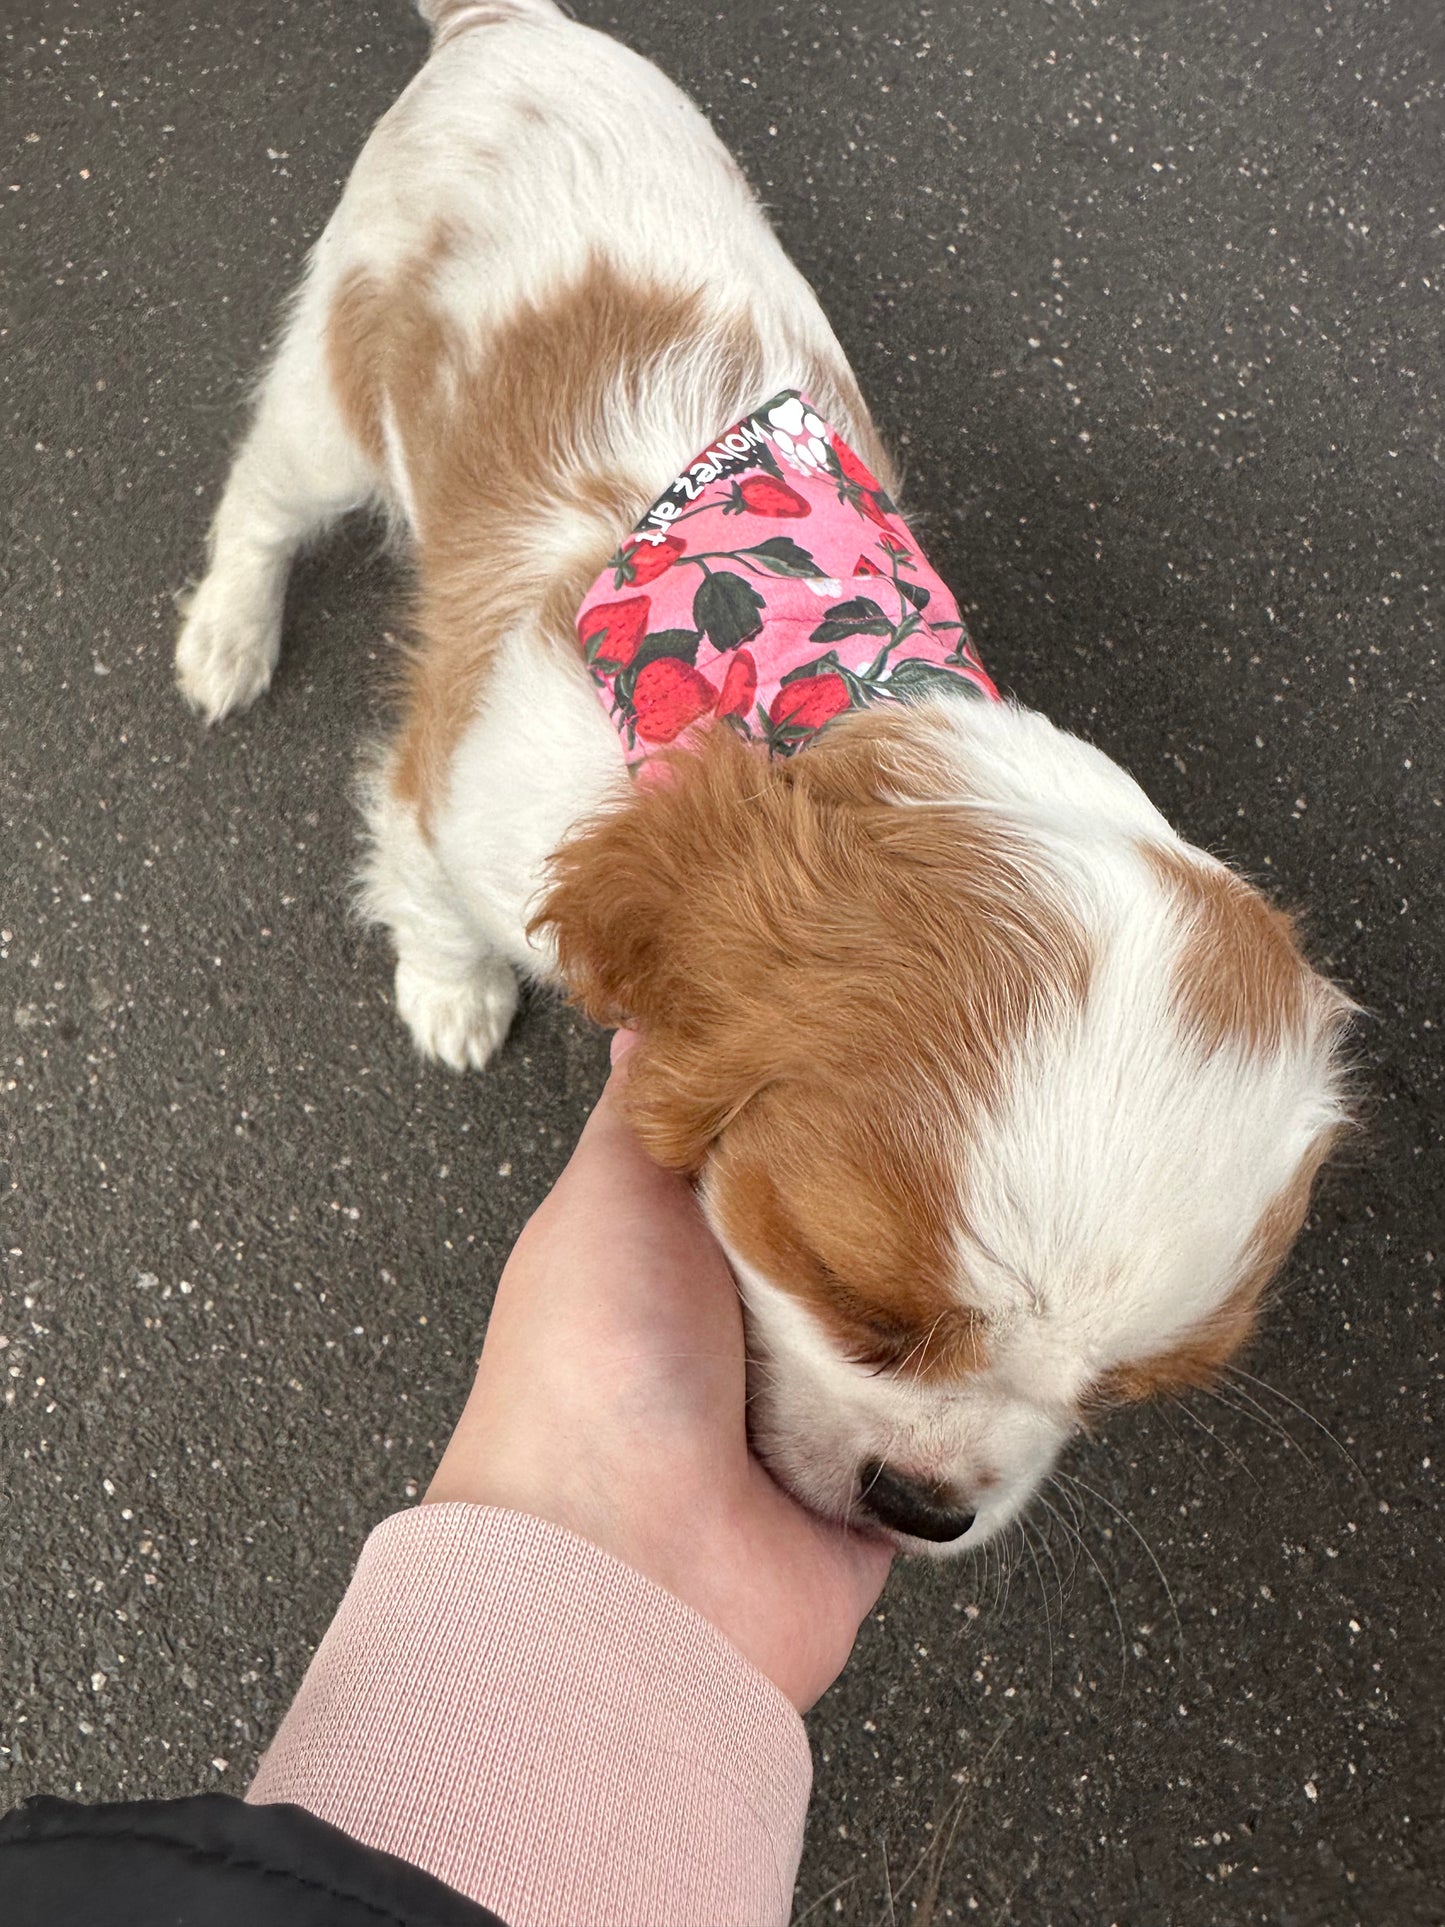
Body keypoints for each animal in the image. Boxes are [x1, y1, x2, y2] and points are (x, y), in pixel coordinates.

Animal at [175, 0, 1356, 1557]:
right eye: (855, 1300)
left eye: (1115, 1397)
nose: (927, 1506)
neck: (797, 680)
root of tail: (510, 23)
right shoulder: (453, 798)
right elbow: (429, 895)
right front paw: (454, 992)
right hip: (336, 379)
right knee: (261, 500)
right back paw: (226, 634)